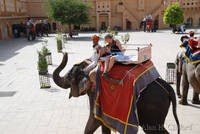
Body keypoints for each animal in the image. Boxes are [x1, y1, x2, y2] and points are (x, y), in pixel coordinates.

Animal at [52, 52, 180, 134]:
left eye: (69, 77)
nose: (62, 51)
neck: (89, 67)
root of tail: (168, 87)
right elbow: (104, 124)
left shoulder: (95, 93)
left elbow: (94, 120)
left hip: (152, 110)